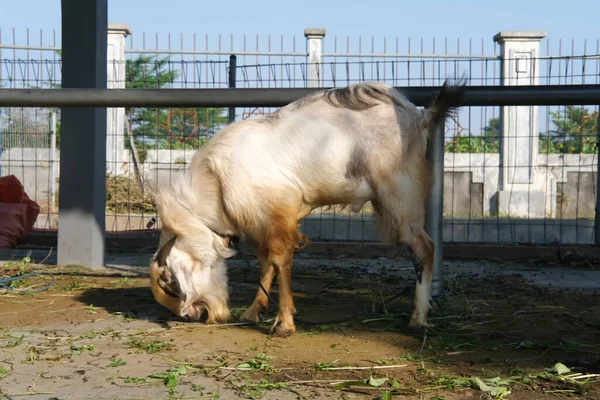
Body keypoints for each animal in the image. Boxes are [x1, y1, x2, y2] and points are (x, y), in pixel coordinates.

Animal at [149, 79, 464, 338]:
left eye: (169, 280)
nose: (192, 315)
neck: (216, 180)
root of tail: (419, 116)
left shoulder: (279, 211)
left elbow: (280, 261)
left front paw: (284, 323)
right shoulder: (264, 223)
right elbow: (266, 263)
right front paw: (253, 312)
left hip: (400, 197)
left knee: (424, 248)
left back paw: (417, 320)